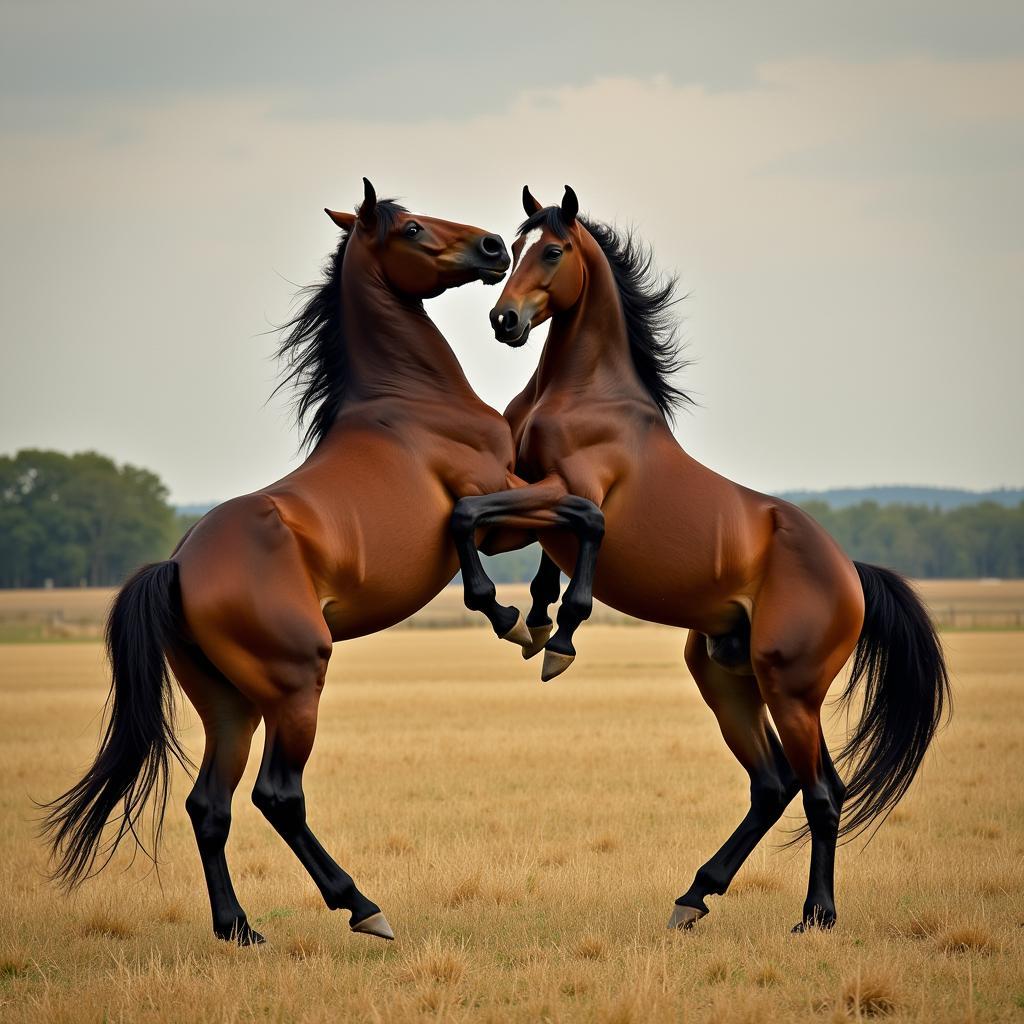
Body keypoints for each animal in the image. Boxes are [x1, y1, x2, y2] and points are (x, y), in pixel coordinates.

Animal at [39, 178, 598, 942]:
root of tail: (178, 567)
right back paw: (361, 906)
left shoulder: (513, 502)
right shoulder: (499, 508)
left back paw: (238, 928)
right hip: (296, 687)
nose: (490, 247)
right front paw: (523, 621)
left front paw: (538, 622)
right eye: (412, 228)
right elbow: (566, 514)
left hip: (231, 707)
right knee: (278, 795)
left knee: (209, 804)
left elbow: (563, 525)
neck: (414, 403)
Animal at [458, 186, 950, 937]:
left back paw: (815, 916)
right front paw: (533, 617)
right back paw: (695, 895)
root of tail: (851, 573)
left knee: (821, 793)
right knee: (775, 784)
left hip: (792, 689)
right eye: (513, 250)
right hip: (725, 675)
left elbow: (521, 521)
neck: (582, 395)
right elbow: (499, 529)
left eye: (554, 251)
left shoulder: (572, 491)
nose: (503, 320)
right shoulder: (523, 493)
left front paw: (555, 633)